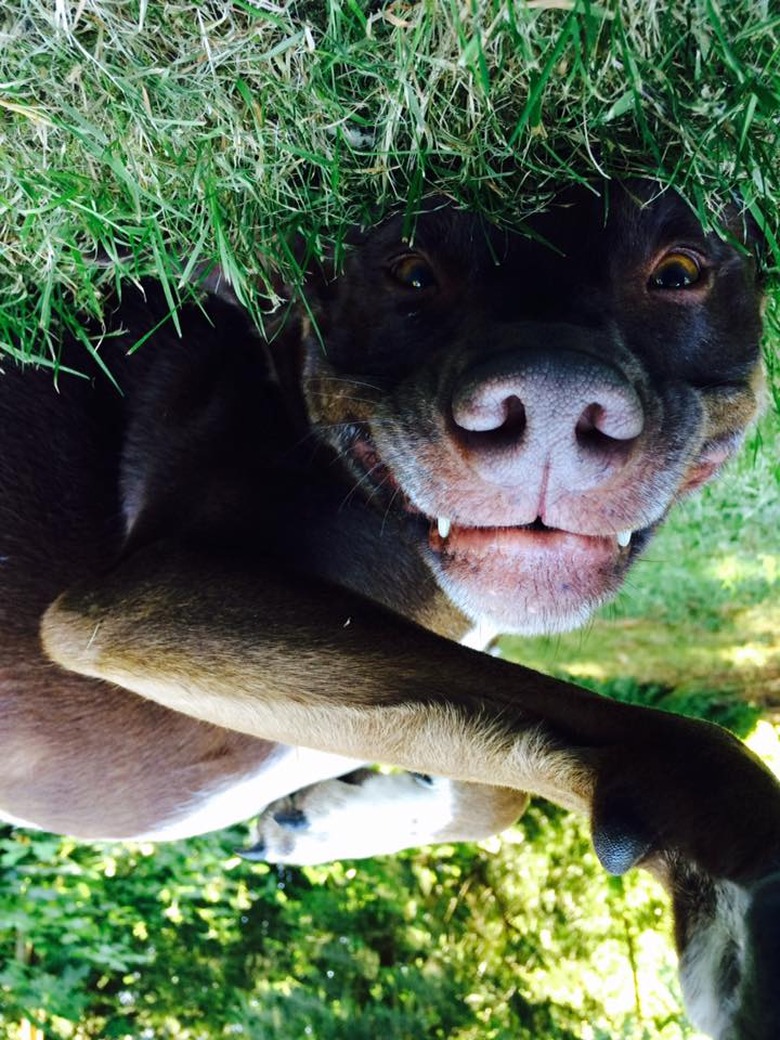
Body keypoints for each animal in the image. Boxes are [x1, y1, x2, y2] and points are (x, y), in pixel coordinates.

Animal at [0, 183, 777, 1035]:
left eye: (679, 272)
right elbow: (658, 738)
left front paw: (327, 820)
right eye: (409, 271)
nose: (551, 401)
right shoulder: (152, 599)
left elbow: (491, 770)